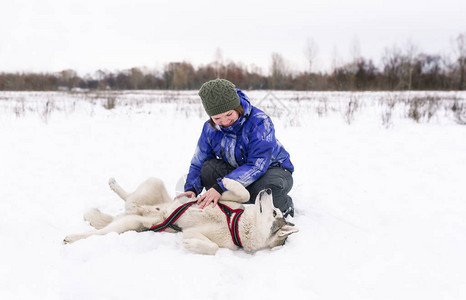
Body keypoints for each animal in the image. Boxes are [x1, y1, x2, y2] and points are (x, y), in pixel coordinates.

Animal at [63, 177, 298, 254]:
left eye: (275, 211)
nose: (268, 190)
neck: (235, 222)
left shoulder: (193, 233)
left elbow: (212, 248)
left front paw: (192, 246)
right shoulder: (227, 200)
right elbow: (244, 192)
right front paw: (228, 181)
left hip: (132, 222)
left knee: (101, 232)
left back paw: (73, 237)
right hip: (153, 183)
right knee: (129, 197)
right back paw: (115, 186)